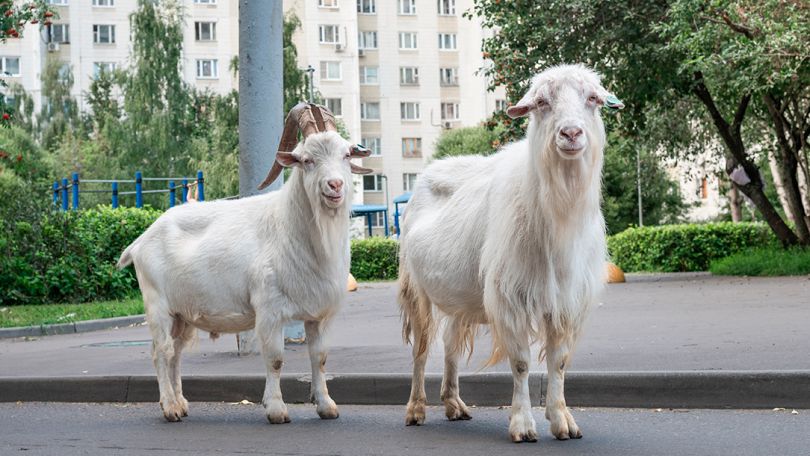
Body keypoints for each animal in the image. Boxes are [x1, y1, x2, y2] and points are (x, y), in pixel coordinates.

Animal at [117, 102, 372, 423]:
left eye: (347, 154)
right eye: (306, 160)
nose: (334, 185)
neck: (289, 228)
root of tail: (141, 240)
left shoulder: (319, 314)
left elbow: (320, 357)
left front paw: (327, 406)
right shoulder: (269, 311)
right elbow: (275, 360)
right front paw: (276, 410)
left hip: (181, 315)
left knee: (175, 353)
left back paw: (182, 404)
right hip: (157, 306)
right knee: (161, 352)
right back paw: (170, 408)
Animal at [398, 64, 623, 442]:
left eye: (592, 99)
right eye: (542, 102)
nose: (571, 133)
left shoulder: (565, 301)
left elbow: (559, 361)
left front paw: (562, 421)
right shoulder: (511, 297)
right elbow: (520, 362)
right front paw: (523, 425)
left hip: (460, 295)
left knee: (450, 344)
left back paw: (453, 404)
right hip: (416, 289)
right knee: (421, 348)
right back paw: (415, 410)